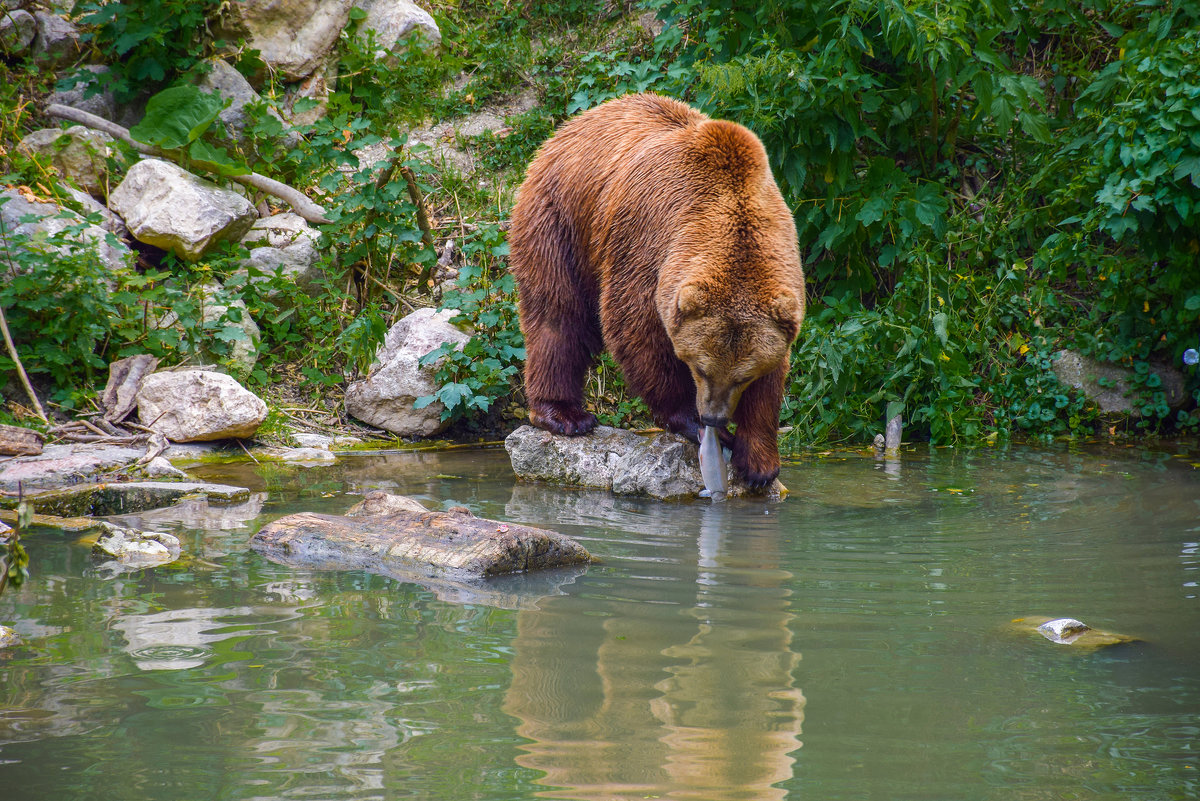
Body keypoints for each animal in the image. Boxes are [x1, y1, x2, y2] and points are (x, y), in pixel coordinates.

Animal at [508, 90, 806, 484]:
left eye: (743, 375)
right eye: (700, 367)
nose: (713, 417)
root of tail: (570, 125)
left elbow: (772, 380)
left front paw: (758, 461)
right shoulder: (648, 241)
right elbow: (637, 329)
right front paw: (689, 420)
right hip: (560, 219)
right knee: (558, 315)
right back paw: (564, 415)